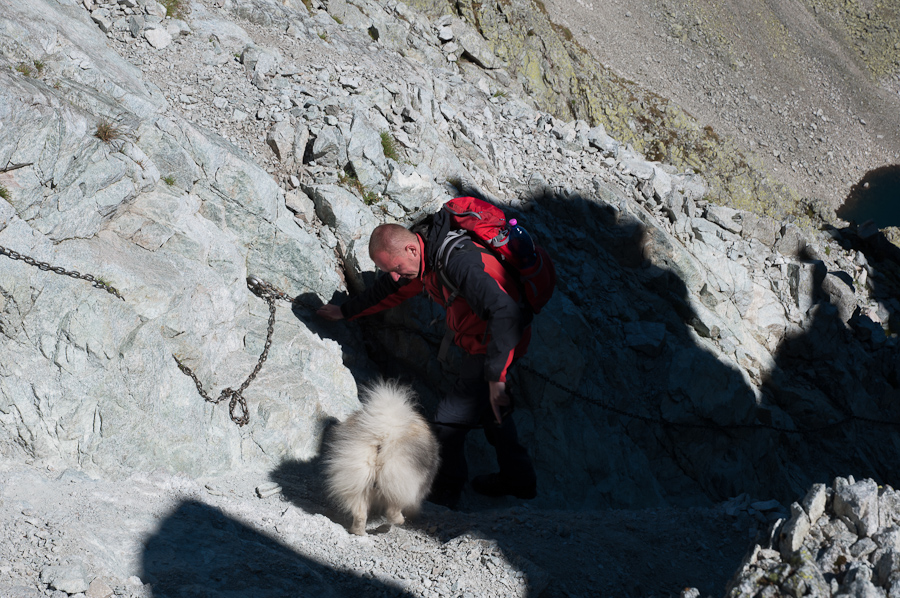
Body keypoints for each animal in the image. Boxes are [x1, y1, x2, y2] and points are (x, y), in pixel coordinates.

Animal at [324, 382, 440, 536]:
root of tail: (384, 434)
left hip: (357, 479)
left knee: (360, 513)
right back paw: (398, 522)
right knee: (392, 511)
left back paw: (357, 532)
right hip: (398, 481)